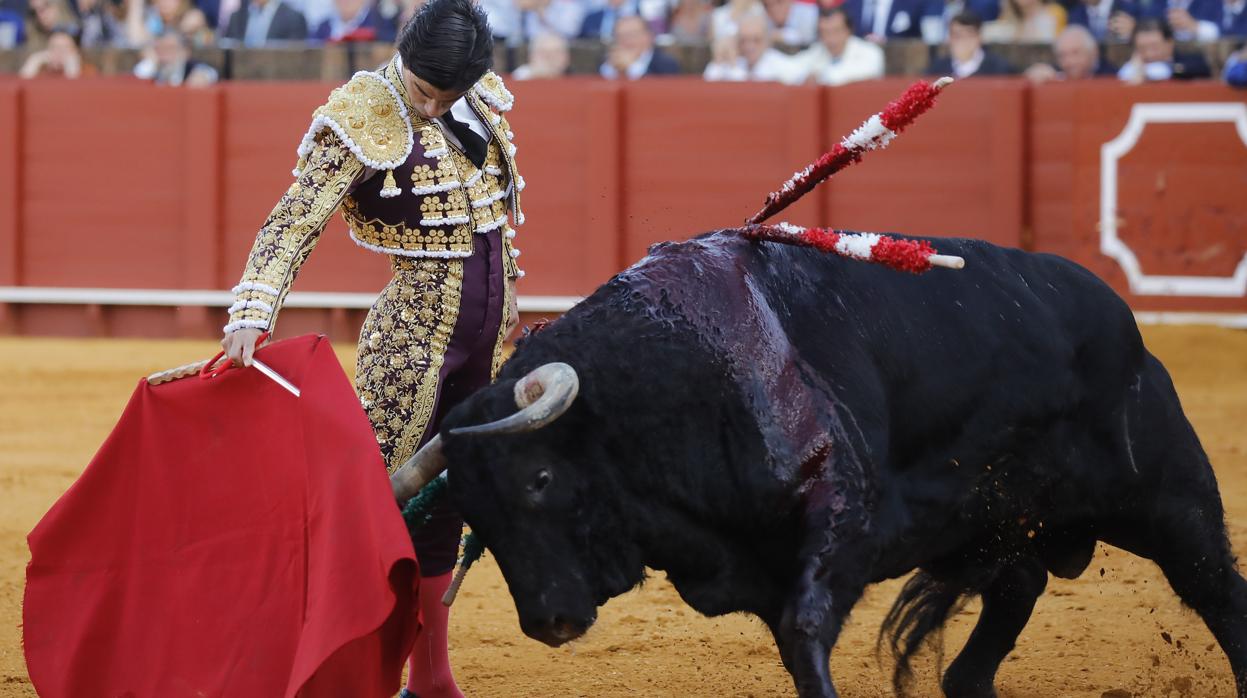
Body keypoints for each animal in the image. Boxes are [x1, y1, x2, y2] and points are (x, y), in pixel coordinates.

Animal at [433, 230, 1242, 698]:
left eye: (539, 480)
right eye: (476, 518)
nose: (549, 620)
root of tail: (1117, 315)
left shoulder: (842, 522)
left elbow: (807, 628)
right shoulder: (762, 566)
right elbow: (797, 648)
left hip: (1165, 495)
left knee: (1217, 589)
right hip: (1002, 519)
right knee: (1015, 590)